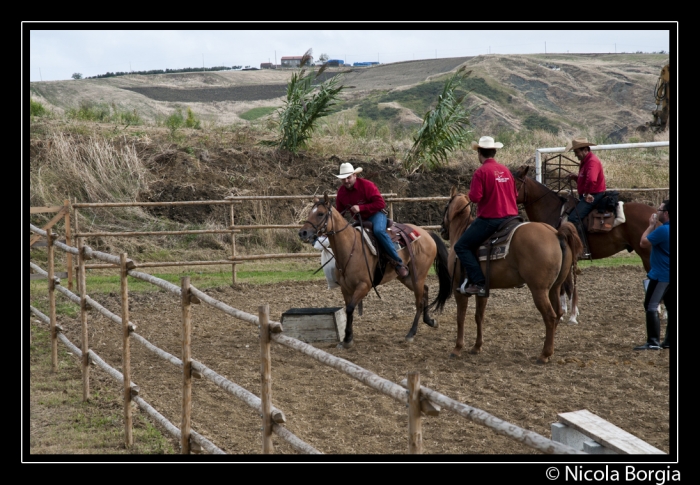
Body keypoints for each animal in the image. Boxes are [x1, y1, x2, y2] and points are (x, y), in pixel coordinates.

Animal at [296, 193, 452, 348]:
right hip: (406, 277)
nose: (303, 233)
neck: (351, 249)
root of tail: (427, 233)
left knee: (419, 300)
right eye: (310, 213)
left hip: (418, 274)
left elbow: (350, 308)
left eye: (320, 214)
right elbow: (348, 310)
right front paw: (347, 338)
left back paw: (411, 333)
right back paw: (430, 321)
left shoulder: (364, 286)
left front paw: (347, 339)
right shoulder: (345, 289)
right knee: (425, 290)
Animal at [442, 185, 584, 364]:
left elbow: (460, 317)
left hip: (539, 290)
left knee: (550, 316)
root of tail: (556, 234)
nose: (442, 230)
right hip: (555, 287)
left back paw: (544, 354)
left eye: (446, 206)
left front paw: (457, 348)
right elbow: (479, 316)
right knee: (558, 313)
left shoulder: (458, 288)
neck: (461, 230)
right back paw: (549, 350)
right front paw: (476, 347)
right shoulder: (482, 290)